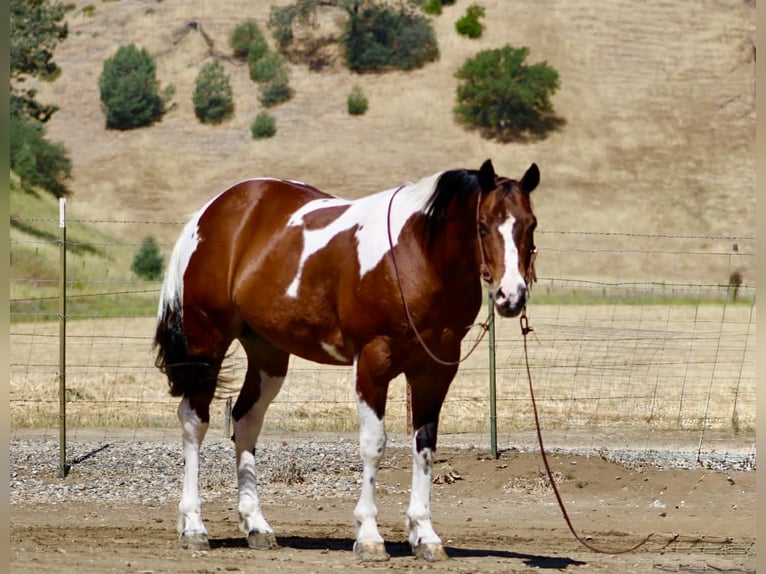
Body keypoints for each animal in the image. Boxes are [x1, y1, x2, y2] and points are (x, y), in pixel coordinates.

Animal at [154, 159, 540, 561]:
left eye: (530, 224)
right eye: (482, 224)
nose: (511, 296)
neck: (417, 254)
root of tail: (212, 212)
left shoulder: (436, 369)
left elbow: (425, 446)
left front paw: (425, 534)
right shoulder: (373, 362)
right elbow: (374, 445)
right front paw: (369, 535)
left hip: (267, 354)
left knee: (245, 421)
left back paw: (256, 525)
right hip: (207, 345)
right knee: (194, 422)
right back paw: (194, 527)